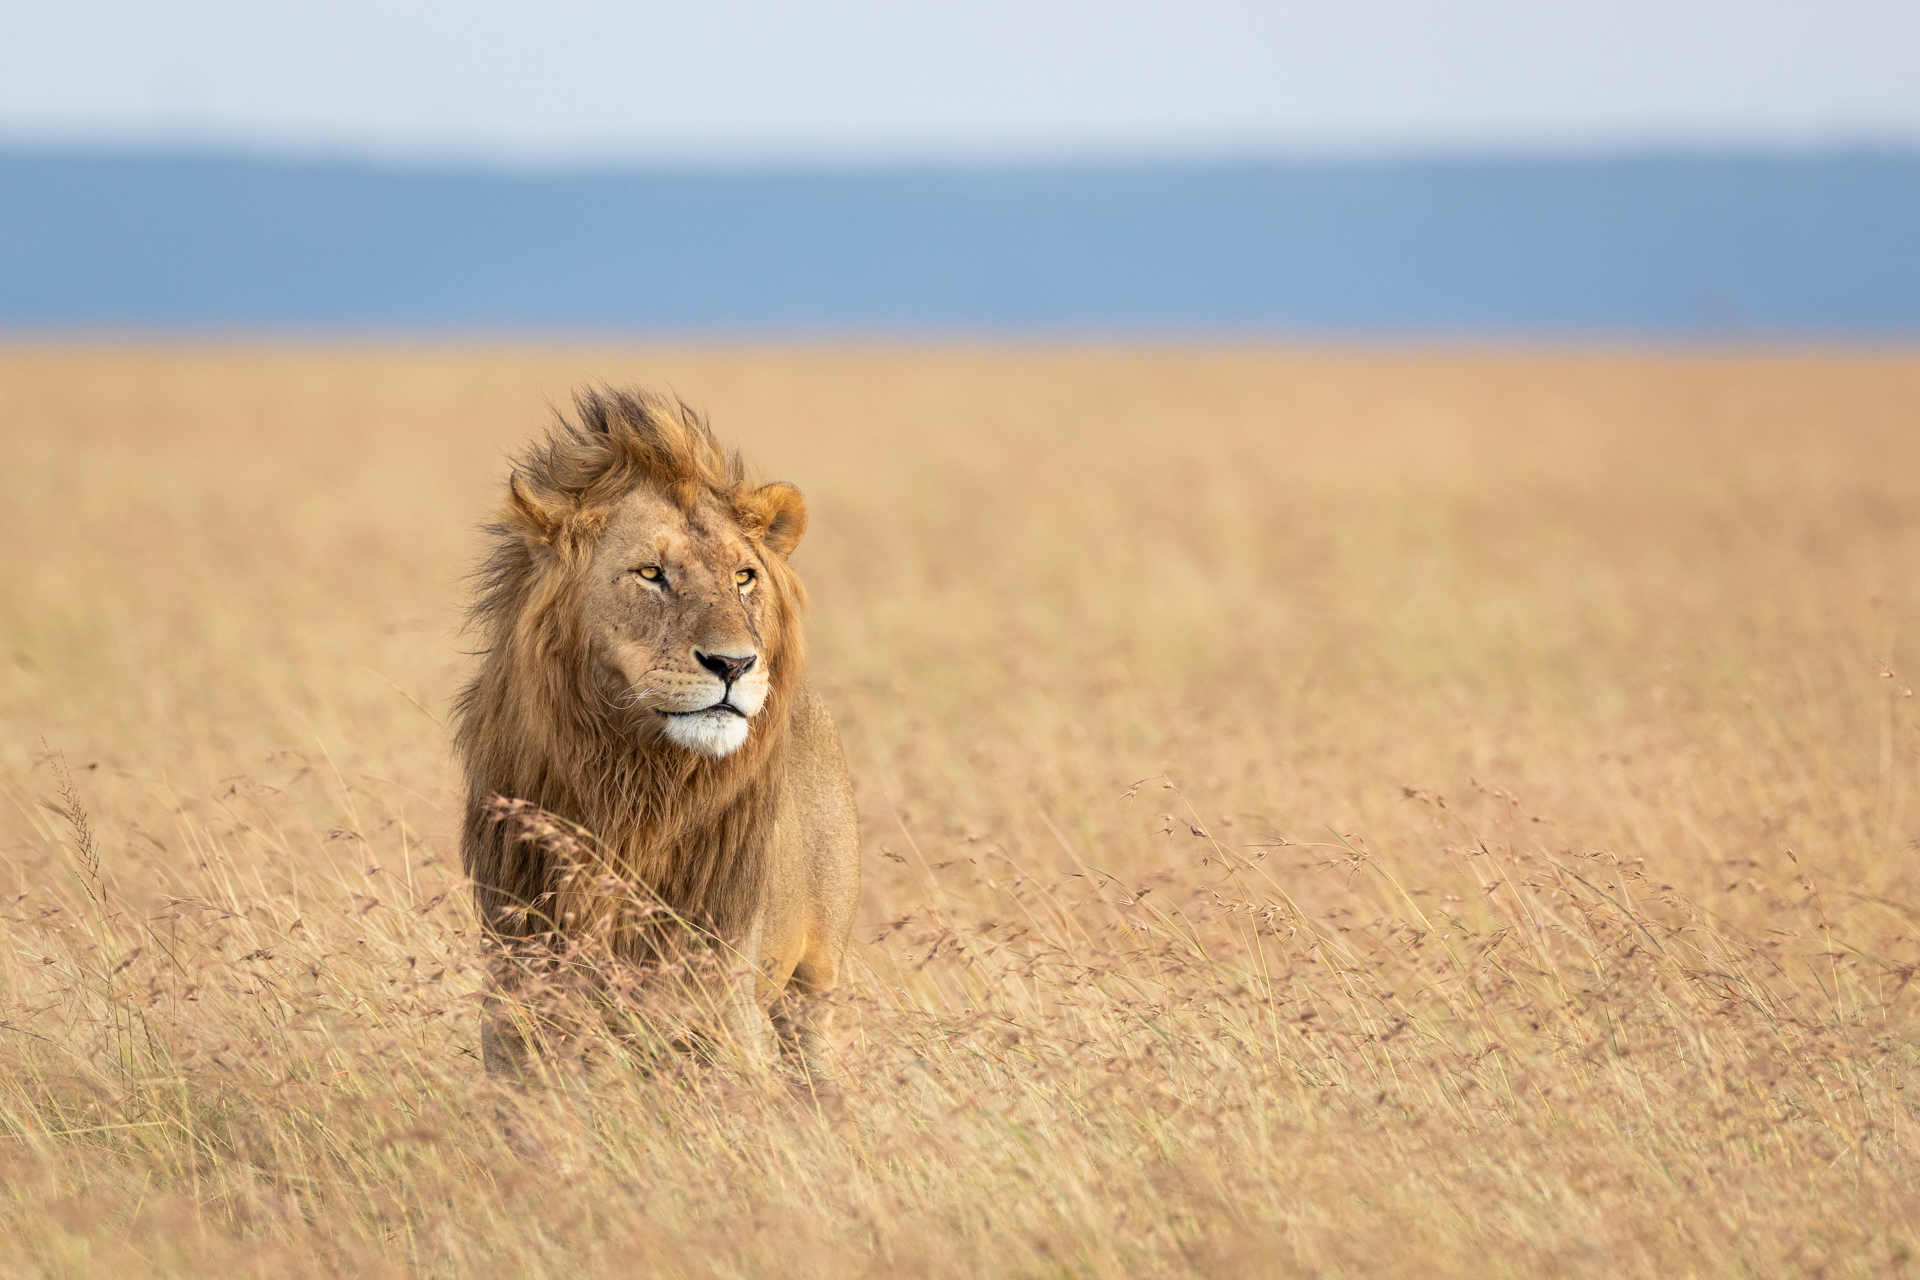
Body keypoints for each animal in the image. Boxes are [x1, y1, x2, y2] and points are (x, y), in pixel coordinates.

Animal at [452, 387, 859, 1080]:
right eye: (650, 573)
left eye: (744, 576)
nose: (735, 664)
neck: (633, 780)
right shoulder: (518, 989)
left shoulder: (720, 997)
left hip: (814, 984)